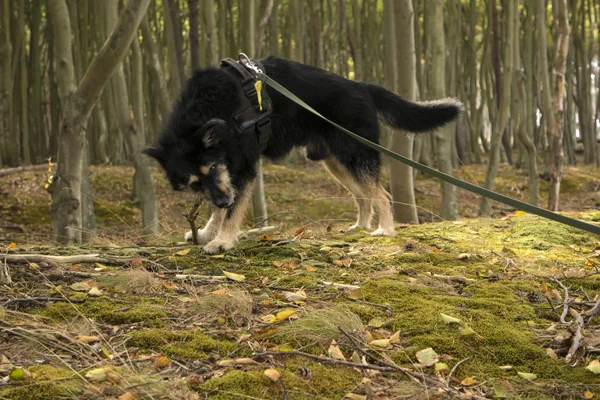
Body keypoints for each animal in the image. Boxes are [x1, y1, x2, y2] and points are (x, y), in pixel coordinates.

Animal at [143, 55, 462, 253]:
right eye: (194, 184)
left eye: (211, 168)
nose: (222, 200)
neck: (214, 109)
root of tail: (361, 85)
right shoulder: (230, 174)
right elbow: (219, 208)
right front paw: (210, 232)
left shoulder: (241, 168)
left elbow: (233, 211)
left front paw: (222, 240)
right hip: (336, 162)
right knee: (363, 196)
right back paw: (360, 226)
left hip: (356, 154)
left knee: (381, 194)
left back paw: (385, 230)